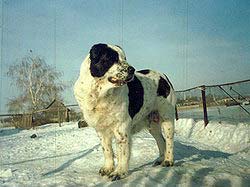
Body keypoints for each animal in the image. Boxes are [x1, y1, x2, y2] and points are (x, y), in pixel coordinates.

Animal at [73, 43, 176, 180]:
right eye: (112, 58)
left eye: (124, 58)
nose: (132, 69)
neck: (99, 94)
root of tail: (164, 76)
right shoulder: (101, 129)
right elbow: (107, 150)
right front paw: (107, 168)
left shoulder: (121, 127)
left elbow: (122, 152)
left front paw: (119, 172)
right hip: (152, 124)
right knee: (161, 140)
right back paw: (160, 159)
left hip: (167, 117)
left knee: (169, 140)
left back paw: (168, 160)